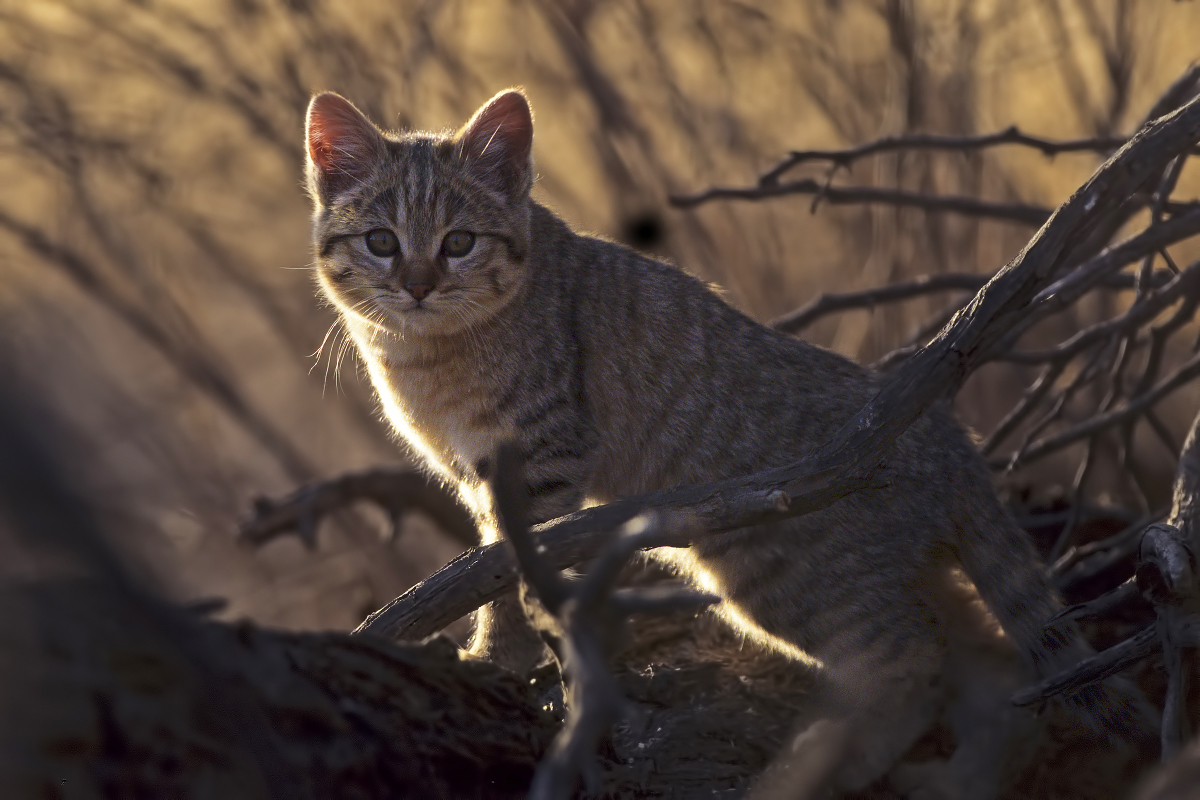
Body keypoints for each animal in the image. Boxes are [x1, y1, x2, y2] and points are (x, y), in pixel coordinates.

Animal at [300, 90, 1142, 796]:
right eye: (381, 240)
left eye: (460, 242)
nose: (416, 285)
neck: (427, 356)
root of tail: (950, 437)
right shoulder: (484, 479)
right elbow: (492, 565)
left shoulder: (538, 462)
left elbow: (510, 573)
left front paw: (494, 659)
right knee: (992, 667)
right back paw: (956, 776)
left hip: (789, 573)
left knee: (914, 659)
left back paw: (816, 772)